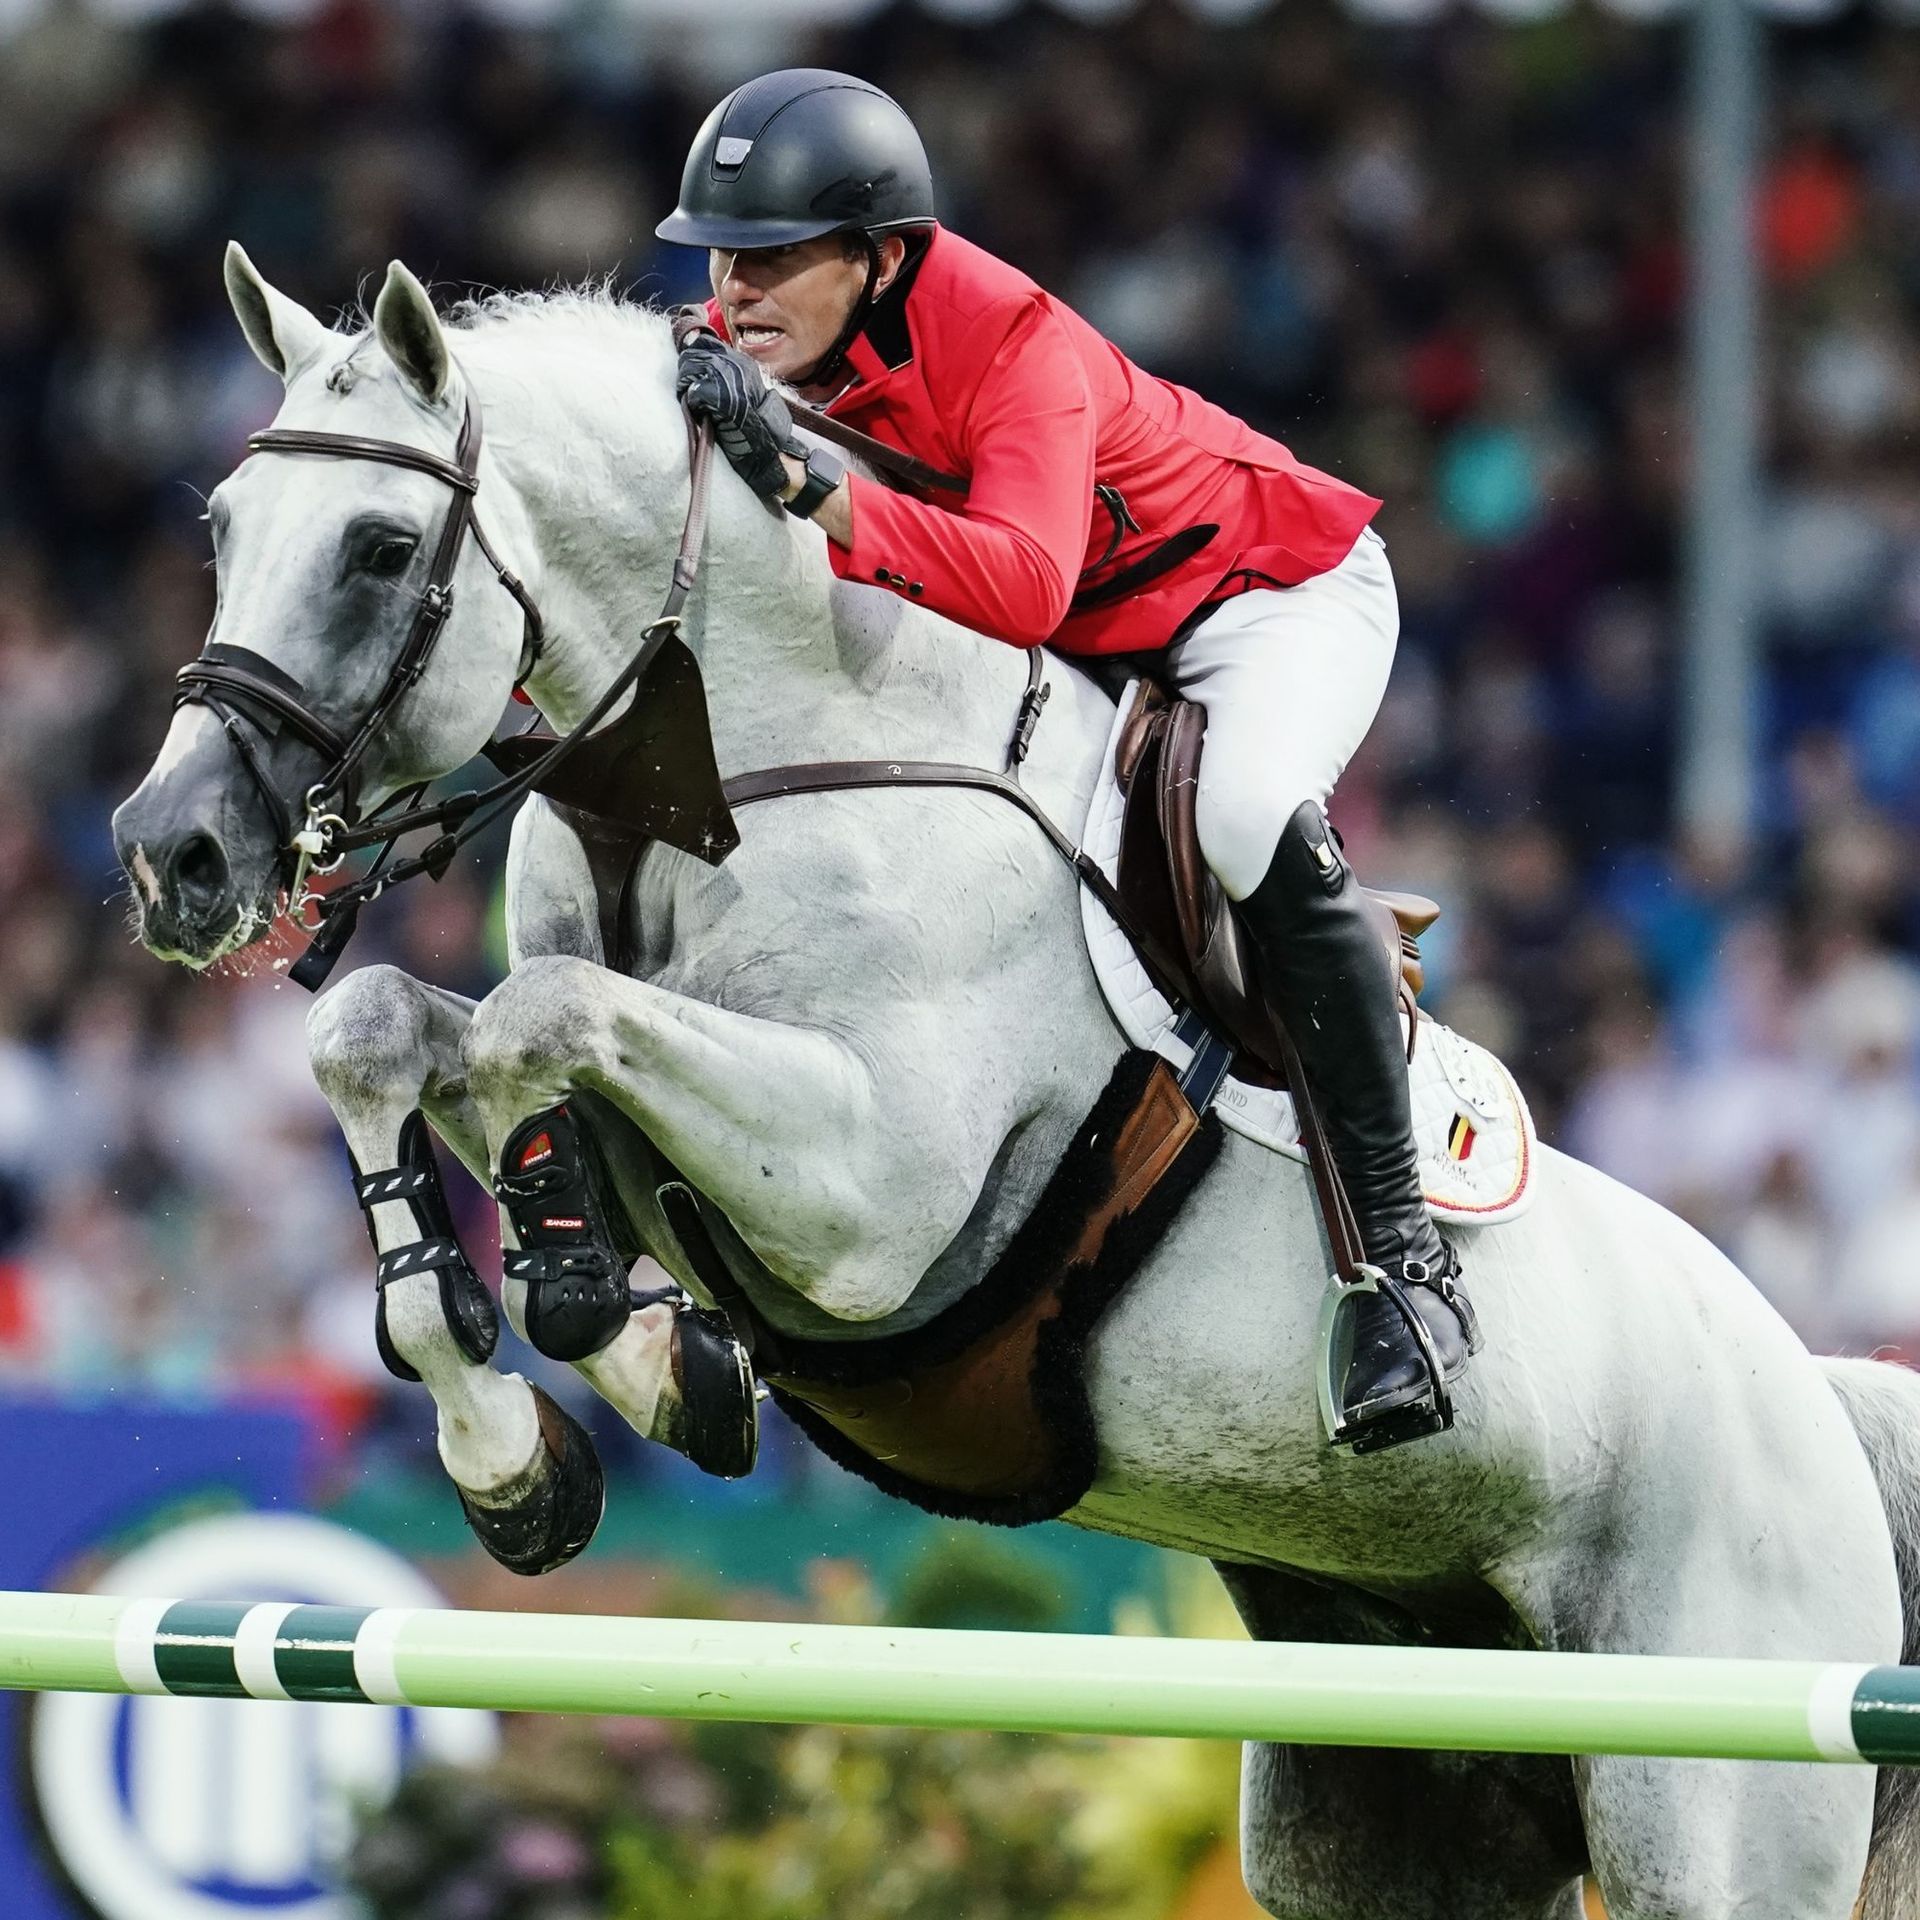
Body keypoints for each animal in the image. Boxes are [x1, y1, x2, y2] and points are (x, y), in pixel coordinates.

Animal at [112, 243, 1920, 1920]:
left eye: (378, 547)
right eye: (220, 528)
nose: (169, 853)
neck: (728, 778)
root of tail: (1812, 1395)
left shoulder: (876, 1204)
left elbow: (538, 1023)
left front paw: (584, 1313)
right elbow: (393, 1031)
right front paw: (544, 1439)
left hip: (1708, 1786)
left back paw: (1403, 1326)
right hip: (1393, 1795)